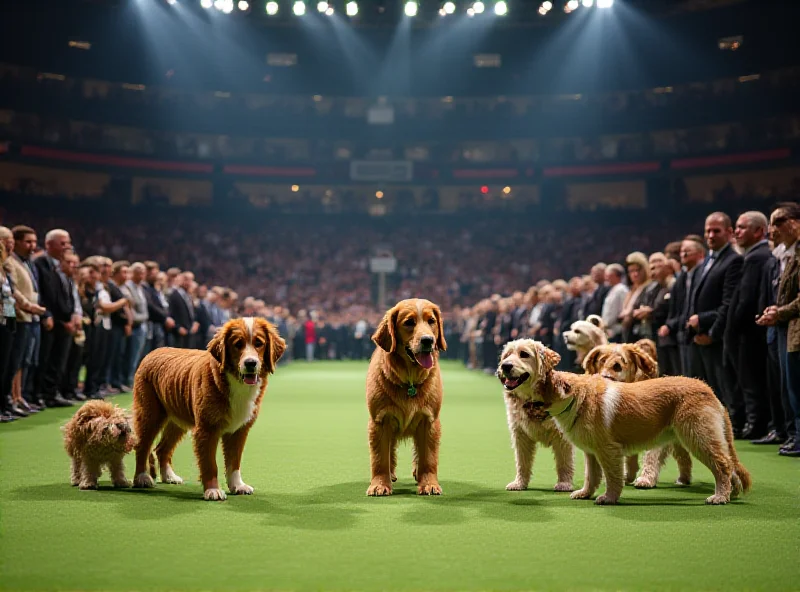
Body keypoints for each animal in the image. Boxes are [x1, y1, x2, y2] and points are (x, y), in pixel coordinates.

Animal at [134, 316, 288, 502]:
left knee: (161, 449)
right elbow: (210, 464)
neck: (234, 382)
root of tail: (152, 352)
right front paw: (213, 490)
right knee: (142, 445)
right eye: (238, 344)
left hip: (177, 421)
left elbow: (234, 462)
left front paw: (238, 486)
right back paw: (142, 478)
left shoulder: (239, 430)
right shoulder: (206, 429)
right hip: (150, 415)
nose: (250, 363)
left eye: (259, 343)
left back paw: (169, 477)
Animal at [366, 298, 446, 498]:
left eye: (431, 321)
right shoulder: (379, 421)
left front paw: (429, 484)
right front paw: (379, 484)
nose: (428, 340)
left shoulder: (429, 421)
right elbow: (380, 458)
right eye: (409, 322)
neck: (409, 380)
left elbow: (428, 458)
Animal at [496, 338, 752, 504]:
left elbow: (612, 478)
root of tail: (708, 389)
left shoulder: (609, 452)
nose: (504, 368)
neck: (577, 399)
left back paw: (719, 497)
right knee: (729, 467)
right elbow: (591, 476)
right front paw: (584, 493)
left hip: (699, 438)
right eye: (507, 355)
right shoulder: (591, 453)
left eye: (524, 354)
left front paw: (609, 498)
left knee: (722, 466)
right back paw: (731, 494)